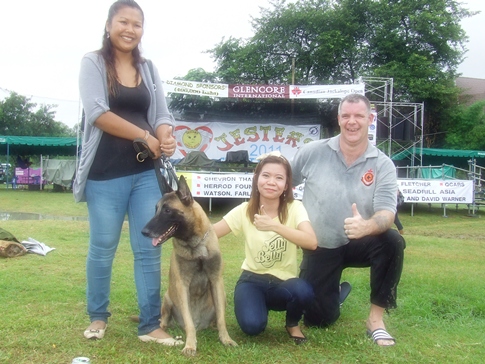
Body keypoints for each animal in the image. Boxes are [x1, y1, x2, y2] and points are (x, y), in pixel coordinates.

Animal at [142, 176, 236, 356]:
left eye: (167, 210)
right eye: (156, 209)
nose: (144, 232)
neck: (195, 246)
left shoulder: (216, 281)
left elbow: (221, 319)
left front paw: (226, 339)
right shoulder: (182, 286)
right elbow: (189, 322)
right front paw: (190, 345)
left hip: (222, 296)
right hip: (167, 298)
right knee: (164, 320)